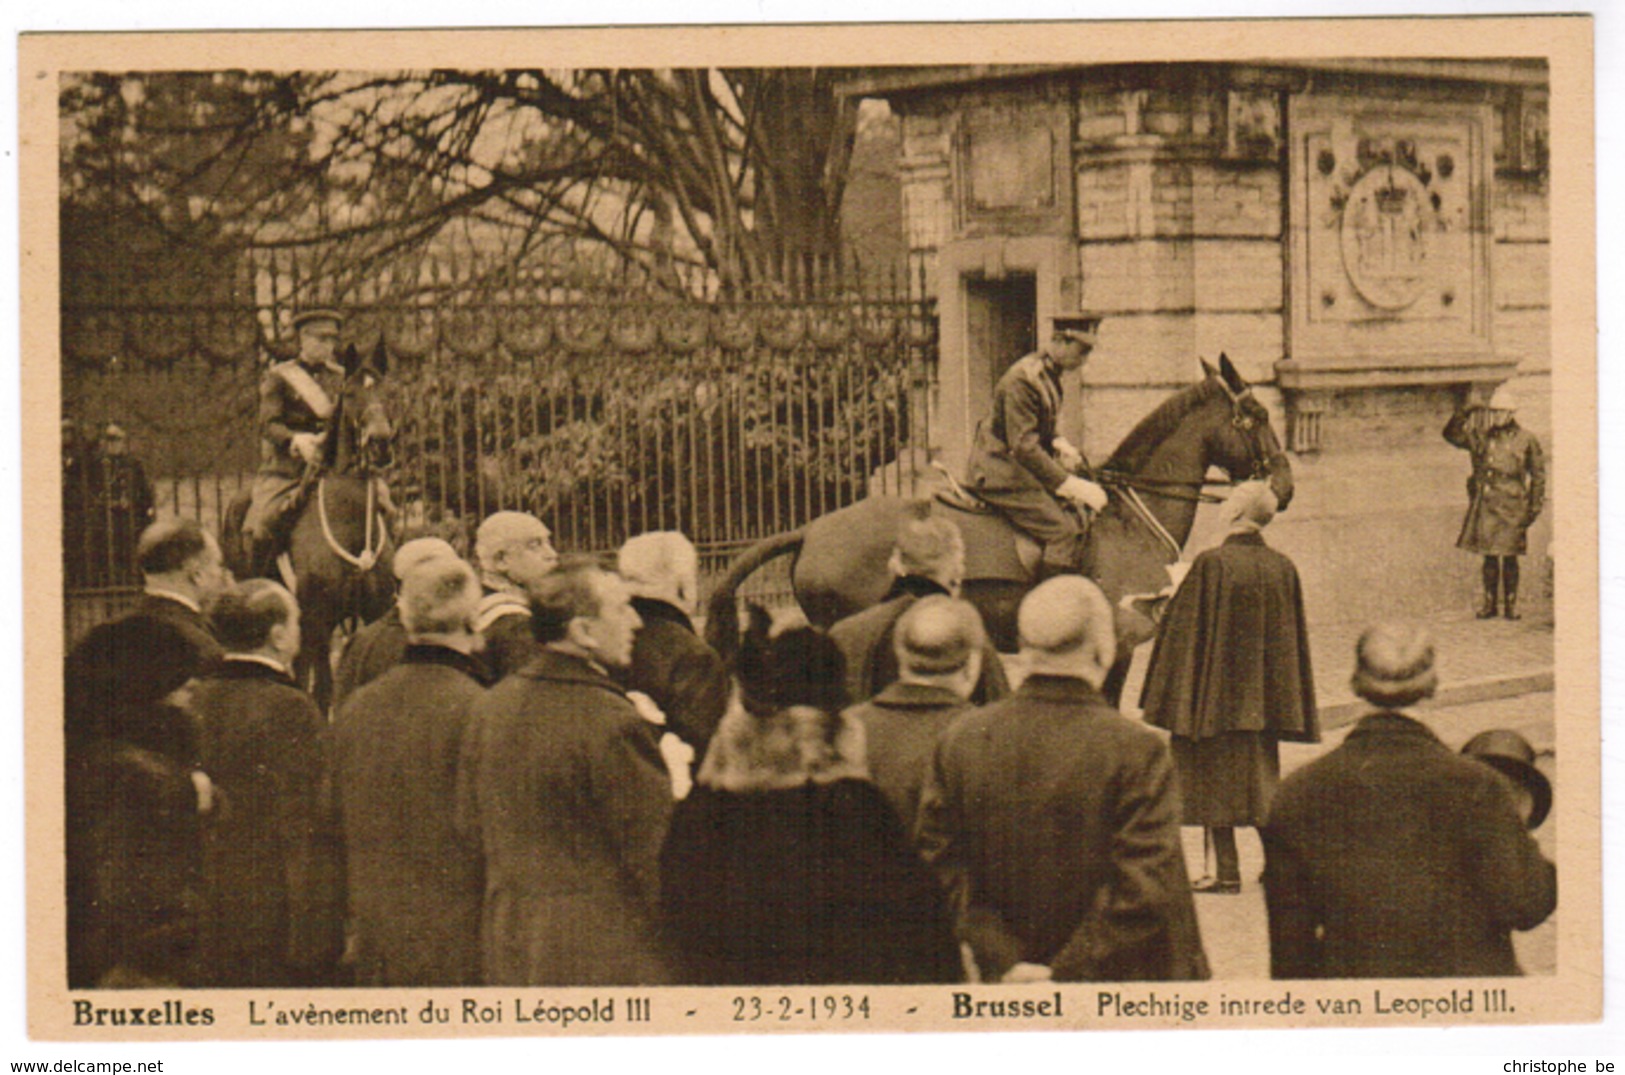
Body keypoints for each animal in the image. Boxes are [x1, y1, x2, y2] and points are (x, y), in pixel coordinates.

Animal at [224, 347, 394, 714]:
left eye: (390, 391)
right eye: (350, 393)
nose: (380, 444)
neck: (350, 520)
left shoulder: (375, 611)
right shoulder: (316, 618)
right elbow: (320, 690)